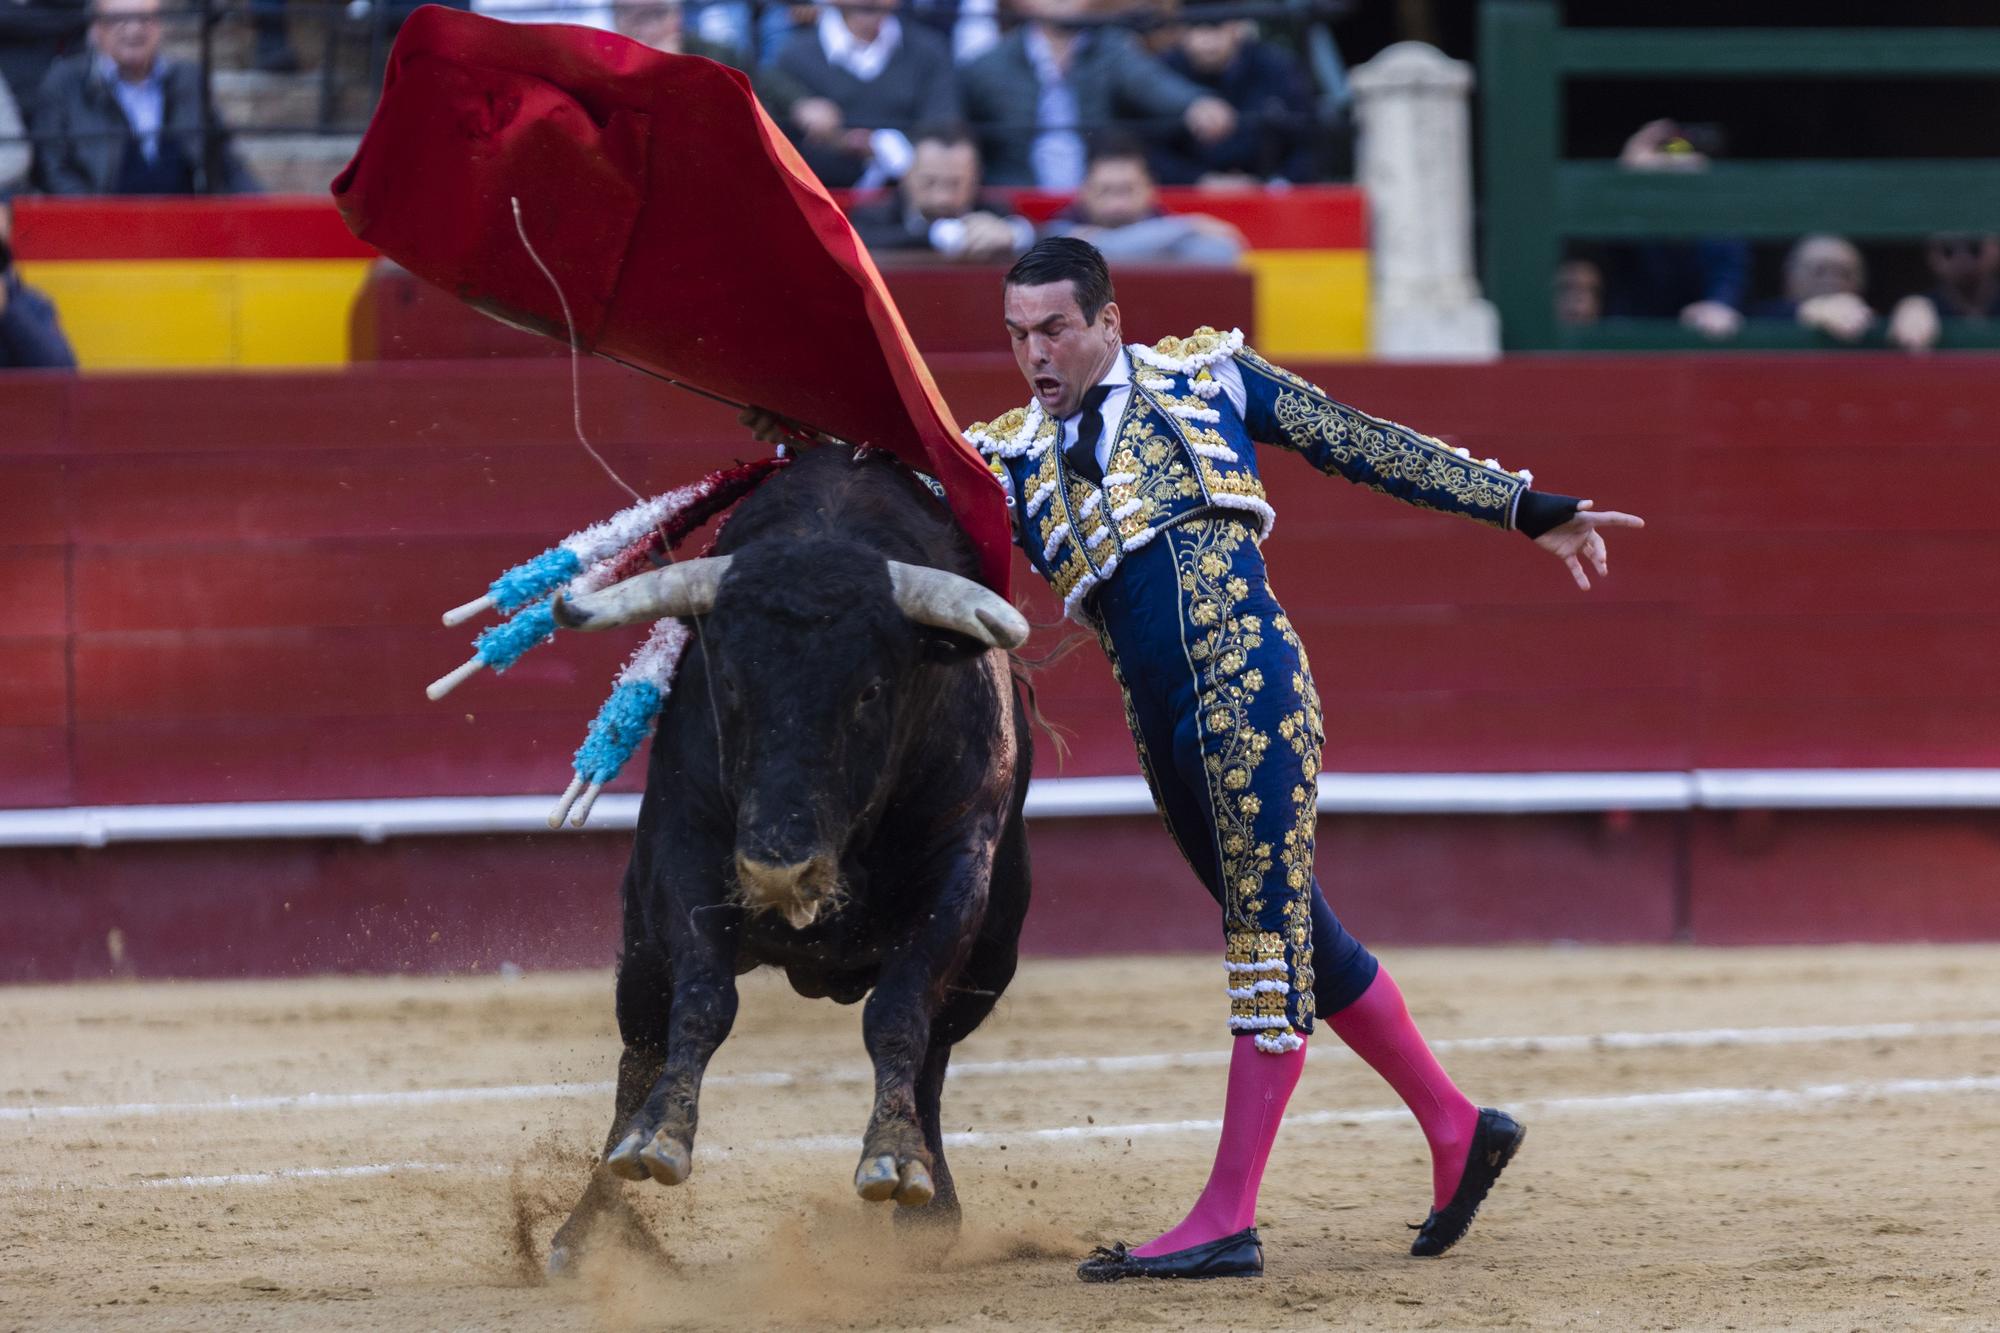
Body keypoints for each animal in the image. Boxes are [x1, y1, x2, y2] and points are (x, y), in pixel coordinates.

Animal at [548, 446, 1040, 1264]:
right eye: (729, 682)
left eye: (871, 689)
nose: (778, 871)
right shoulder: (686, 847)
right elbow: (704, 1001)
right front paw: (659, 1138)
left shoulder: (957, 872)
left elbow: (899, 1014)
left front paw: (895, 1158)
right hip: (640, 947)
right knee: (638, 1050)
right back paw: (586, 1227)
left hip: (991, 960)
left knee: (932, 1054)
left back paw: (927, 1205)